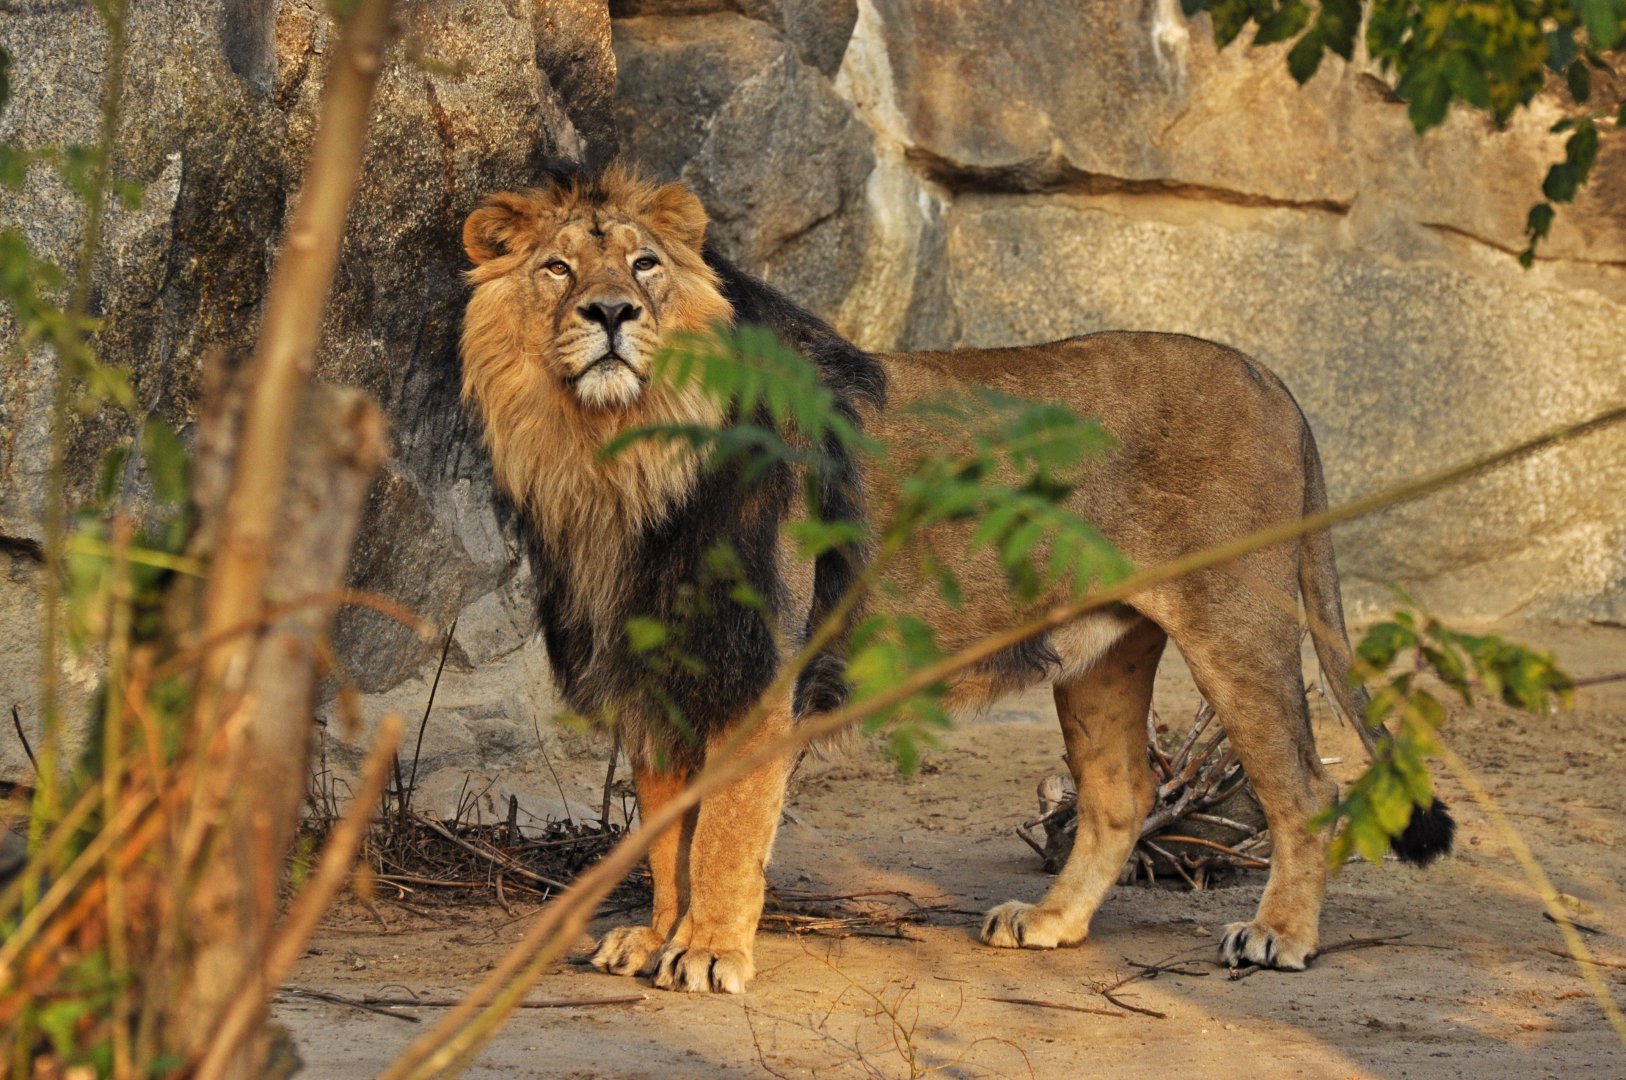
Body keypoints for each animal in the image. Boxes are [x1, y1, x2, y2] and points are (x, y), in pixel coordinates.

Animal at [458, 166, 1453, 995]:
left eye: (645, 265)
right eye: (556, 268)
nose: (612, 313)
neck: (611, 461)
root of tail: (1271, 378)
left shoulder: (759, 672)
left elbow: (727, 832)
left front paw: (706, 953)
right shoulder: (660, 673)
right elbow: (666, 833)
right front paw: (657, 937)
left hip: (1236, 623)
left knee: (1305, 787)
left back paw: (1279, 934)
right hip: (1103, 653)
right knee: (1122, 795)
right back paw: (1050, 921)